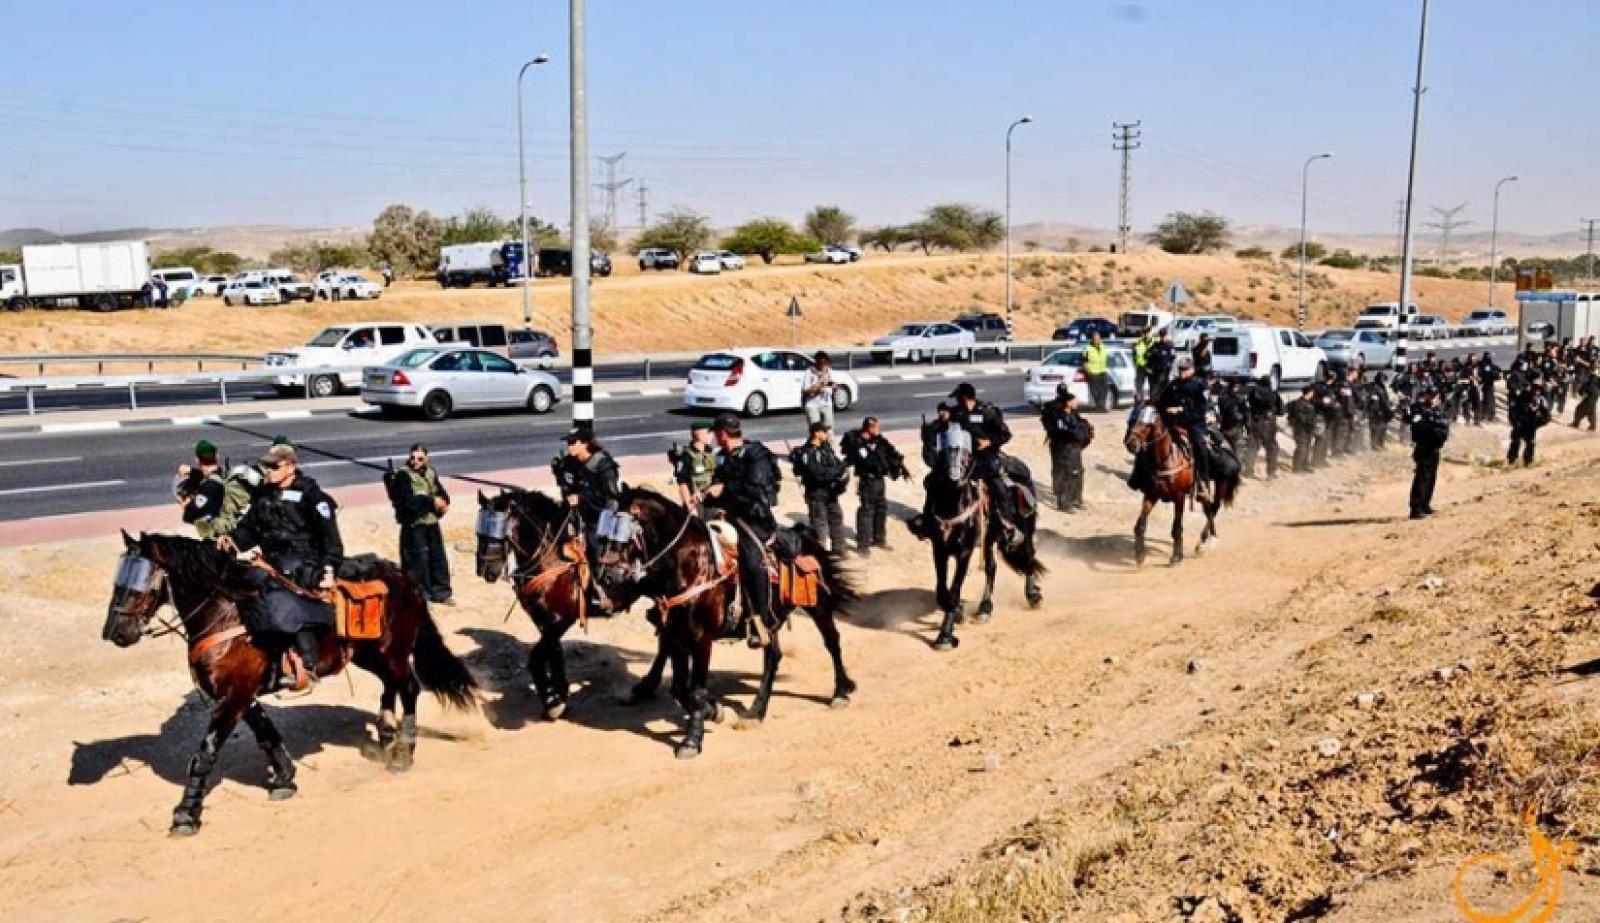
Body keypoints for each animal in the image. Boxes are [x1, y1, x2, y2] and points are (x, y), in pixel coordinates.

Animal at [104, 527, 476, 831]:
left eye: (139, 585)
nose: (114, 633)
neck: (227, 613)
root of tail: (406, 578)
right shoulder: (244, 695)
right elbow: (266, 734)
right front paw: (285, 778)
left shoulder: (233, 696)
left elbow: (205, 753)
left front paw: (186, 813)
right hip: (369, 654)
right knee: (390, 685)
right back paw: (386, 733)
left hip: (393, 651)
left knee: (409, 687)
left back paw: (403, 753)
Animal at [595, 486, 857, 758]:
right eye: (603, 529)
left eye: (624, 528)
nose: (606, 578)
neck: (689, 565)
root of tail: (805, 537)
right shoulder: (677, 634)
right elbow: (679, 688)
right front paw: (714, 711)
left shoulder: (701, 639)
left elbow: (696, 691)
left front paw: (692, 740)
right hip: (770, 620)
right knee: (773, 657)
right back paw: (755, 713)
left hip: (819, 607)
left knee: (832, 642)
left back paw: (840, 692)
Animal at [921, 435, 1043, 652]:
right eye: (941, 454)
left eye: (965, 455)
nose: (954, 478)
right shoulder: (939, 549)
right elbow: (942, 591)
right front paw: (958, 613)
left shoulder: (965, 551)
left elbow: (954, 590)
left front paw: (945, 636)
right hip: (989, 539)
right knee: (991, 568)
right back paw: (985, 608)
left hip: (1027, 528)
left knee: (1028, 556)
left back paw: (1032, 595)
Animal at [1120, 406, 1241, 566]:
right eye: (1132, 420)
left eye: (1148, 425)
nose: (1130, 444)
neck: (1167, 457)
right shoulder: (1151, 494)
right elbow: (1140, 525)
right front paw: (1139, 556)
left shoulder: (1179, 496)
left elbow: (1177, 527)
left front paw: (1177, 557)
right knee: (1209, 508)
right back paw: (1200, 544)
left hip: (1221, 483)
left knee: (1212, 508)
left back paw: (1206, 543)